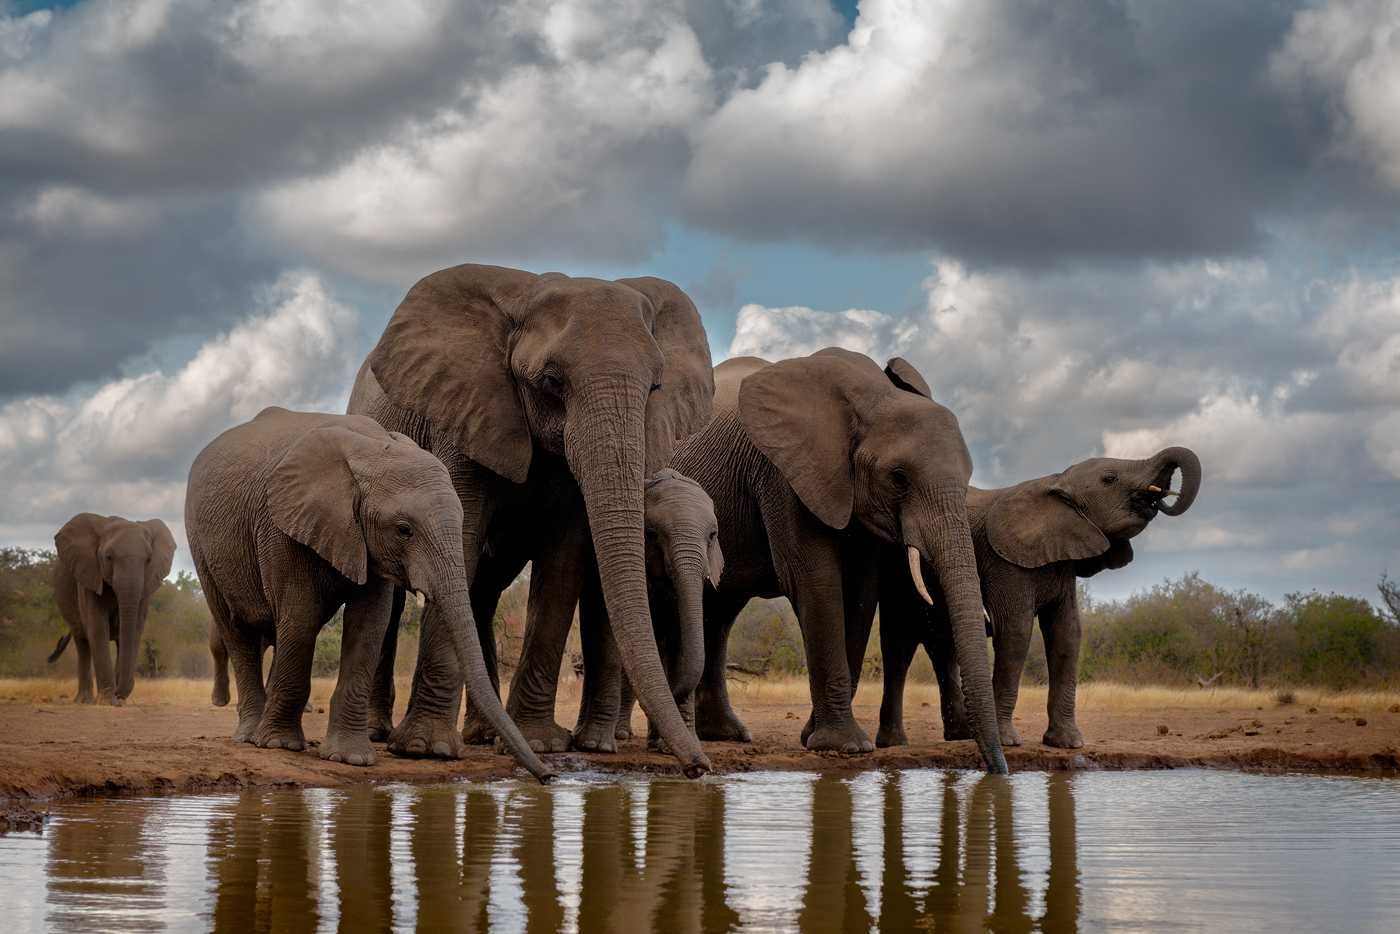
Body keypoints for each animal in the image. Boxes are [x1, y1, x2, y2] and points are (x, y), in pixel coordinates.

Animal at [48, 513, 176, 705]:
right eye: (108, 557)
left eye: (148, 560)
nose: (118, 695)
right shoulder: (89, 575)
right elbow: (98, 628)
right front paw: (108, 701)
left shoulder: (145, 588)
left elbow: (134, 631)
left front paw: (117, 700)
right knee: (82, 642)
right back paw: (84, 701)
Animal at [184, 406, 552, 779]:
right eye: (403, 530)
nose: (548, 775)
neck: (370, 451)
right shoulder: (282, 528)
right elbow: (300, 617)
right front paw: (279, 745)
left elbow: (370, 623)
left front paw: (350, 758)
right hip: (201, 544)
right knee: (235, 630)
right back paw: (250, 736)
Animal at [671, 348, 1007, 772]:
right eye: (898, 478)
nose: (998, 770)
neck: (873, 398)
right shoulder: (784, 474)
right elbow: (816, 580)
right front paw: (844, 747)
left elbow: (862, 593)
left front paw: (812, 736)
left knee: (721, 609)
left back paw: (725, 734)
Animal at [876, 446, 1201, 750]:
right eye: (1110, 479)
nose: (1161, 498)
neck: (1057, 483)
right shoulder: (1005, 562)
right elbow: (1016, 632)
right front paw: (1008, 742)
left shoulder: (1062, 562)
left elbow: (1067, 634)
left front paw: (1067, 743)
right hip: (895, 577)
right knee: (899, 648)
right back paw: (896, 742)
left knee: (942, 648)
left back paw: (963, 736)